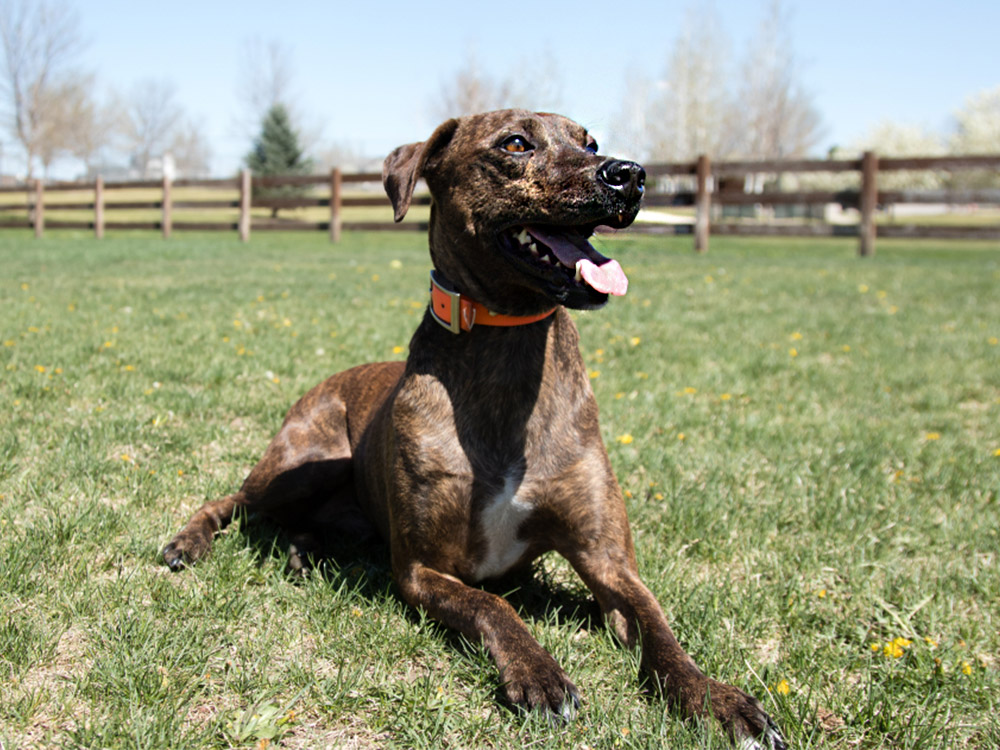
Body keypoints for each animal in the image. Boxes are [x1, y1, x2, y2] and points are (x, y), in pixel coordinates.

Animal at [164, 108, 784, 748]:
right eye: (515, 143)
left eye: (590, 143)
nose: (630, 174)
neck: (509, 347)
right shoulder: (422, 569)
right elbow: (494, 607)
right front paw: (538, 673)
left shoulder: (608, 560)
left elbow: (659, 627)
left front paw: (715, 696)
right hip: (300, 464)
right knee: (233, 499)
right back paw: (189, 543)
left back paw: (305, 553)